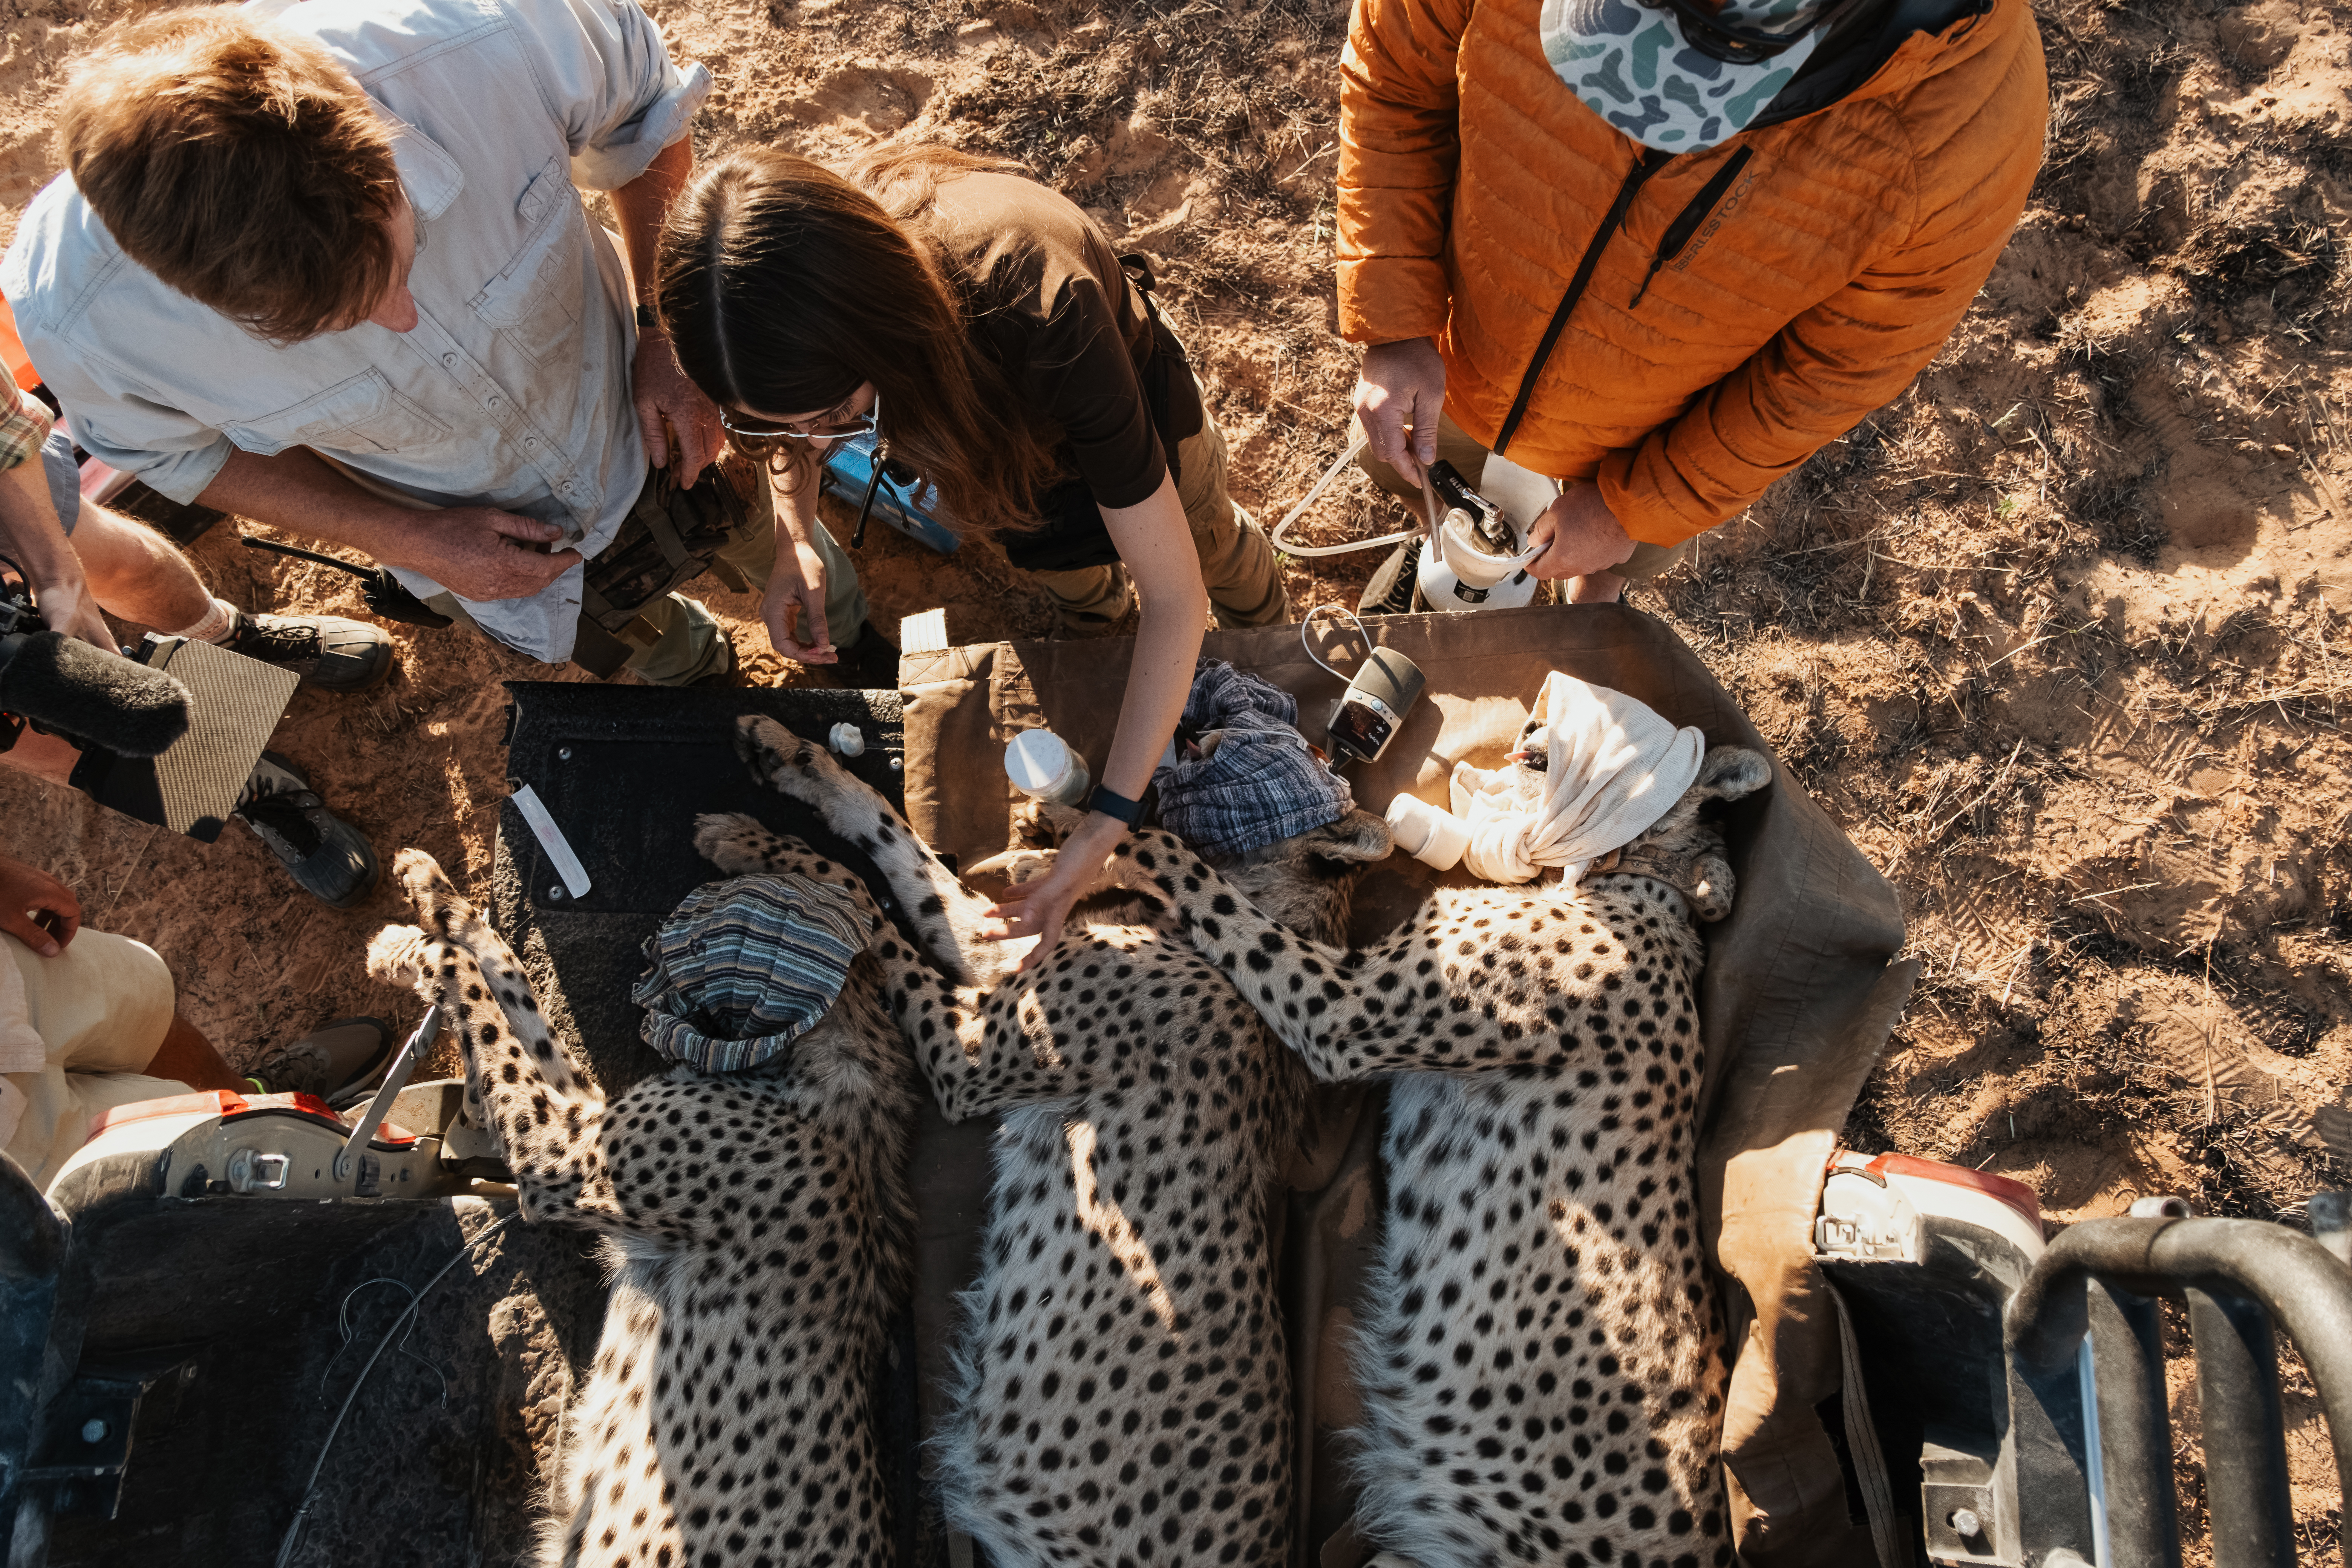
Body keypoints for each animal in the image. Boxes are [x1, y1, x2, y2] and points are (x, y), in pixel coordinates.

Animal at [366, 848, 920, 1568]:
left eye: (688, 937)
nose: (644, 959)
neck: (839, 1043)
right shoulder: (582, 1124)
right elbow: (514, 987)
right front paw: (434, 901)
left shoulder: (558, 1157)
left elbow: (485, 1006)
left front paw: (419, 951)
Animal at [692, 713, 1400, 1568]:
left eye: (1279, 744)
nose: (1202, 722)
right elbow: (889, 835)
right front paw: (785, 764)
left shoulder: (967, 1045)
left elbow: (869, 891)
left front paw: (758, 847)